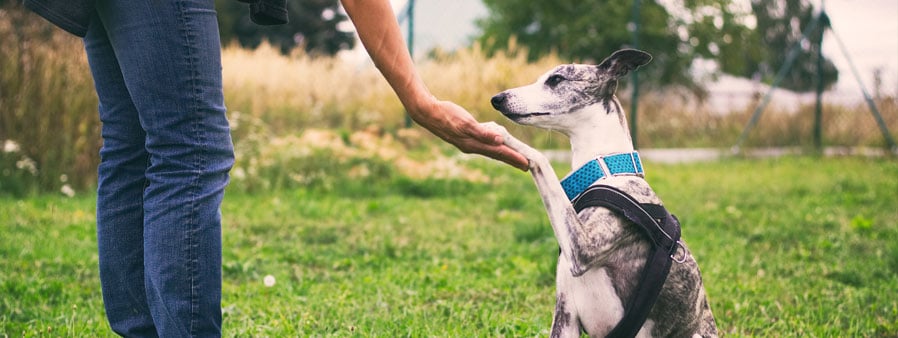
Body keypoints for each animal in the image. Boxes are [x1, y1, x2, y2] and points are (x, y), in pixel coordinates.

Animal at [484, 48, 712, 336]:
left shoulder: (583, 248)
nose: (497, 99)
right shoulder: (566, 316)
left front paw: (499, 132)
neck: (606, 170)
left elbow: (542, 160)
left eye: (556, 79)